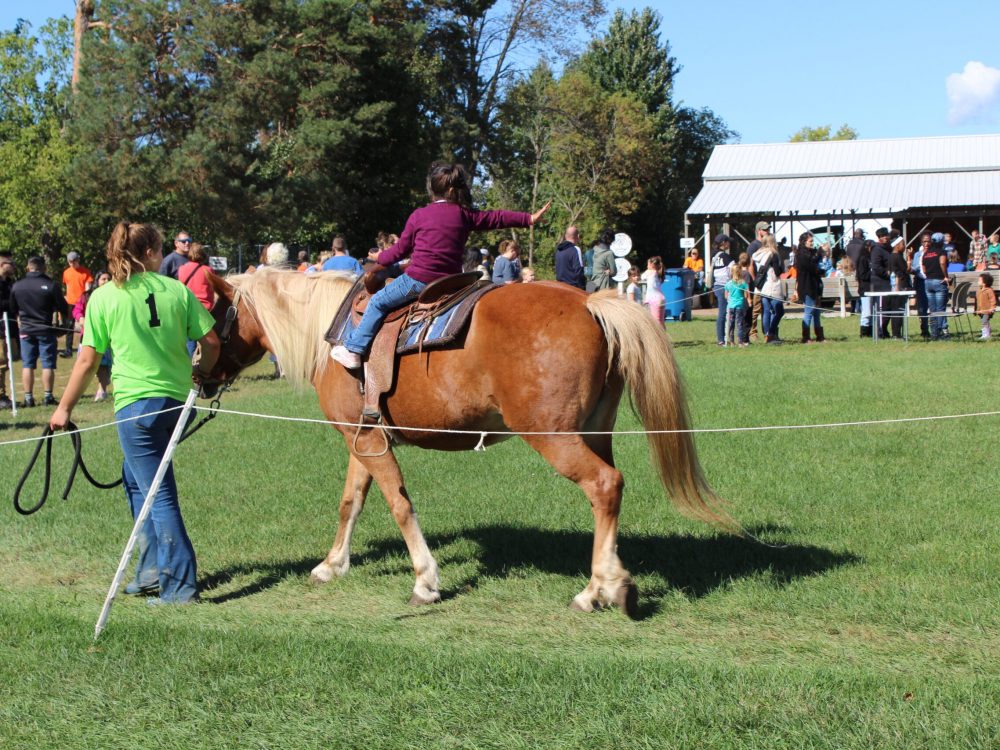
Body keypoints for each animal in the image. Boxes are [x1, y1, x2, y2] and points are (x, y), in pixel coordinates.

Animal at [203, 268, 731, 617]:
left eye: (210, 314)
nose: (199, 376)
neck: (331, 332)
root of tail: (588, 303)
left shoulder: (368, 440)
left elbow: (399, 504)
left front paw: (425, 580)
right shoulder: (363, 439)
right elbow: (351, 502)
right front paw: (332, 565)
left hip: (553, 437)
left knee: (605, 485)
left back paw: (598, 588)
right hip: (595, 432)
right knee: (610, 495)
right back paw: (610, 580)